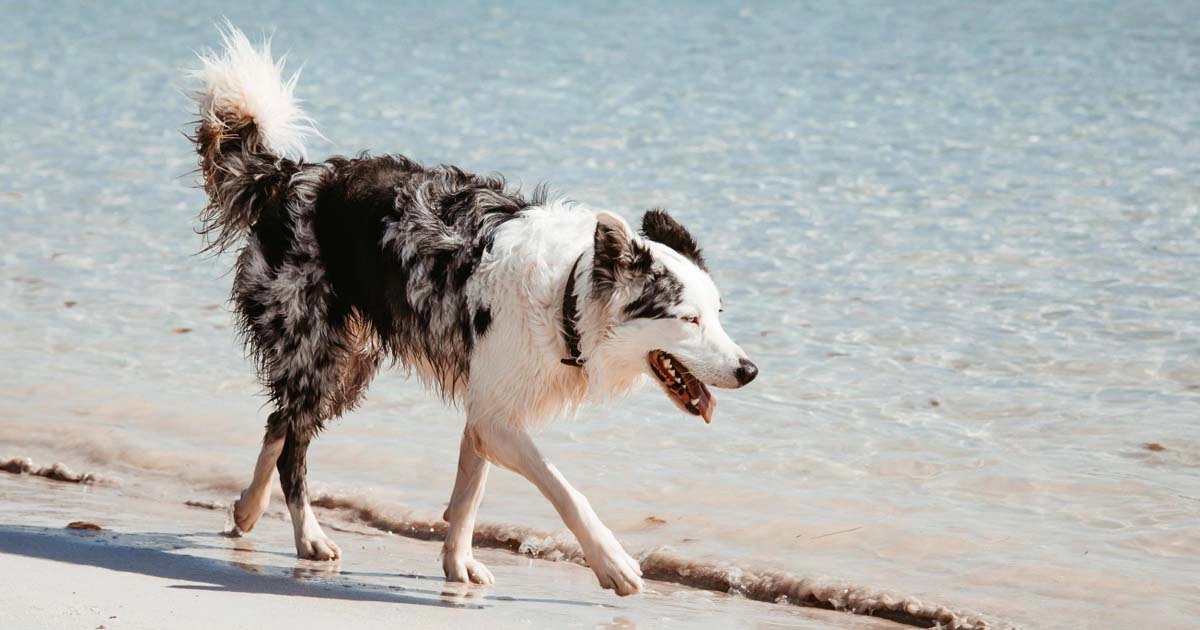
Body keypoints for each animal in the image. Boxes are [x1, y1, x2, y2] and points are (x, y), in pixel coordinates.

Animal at [188, 24, 753, 595]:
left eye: (719, 313)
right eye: (689, 319)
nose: (749, 371)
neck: (565, 299)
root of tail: (290, 176)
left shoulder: (487, 408)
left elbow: (469, 491)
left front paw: (457, 564)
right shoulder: (500, 419)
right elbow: (563, 488)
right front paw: (611, 561)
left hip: (348, 361)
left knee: (278, 422)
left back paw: (248, 509)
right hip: (318, 352)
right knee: (293, 446)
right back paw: (308, 537)